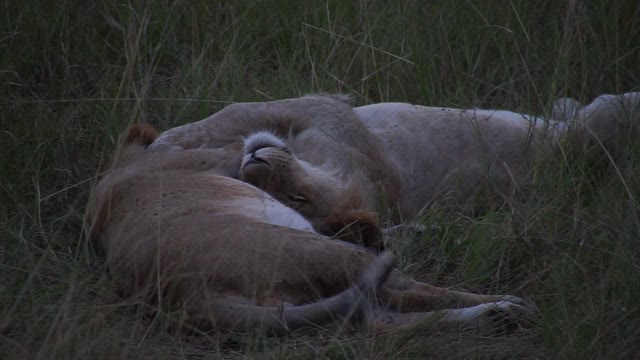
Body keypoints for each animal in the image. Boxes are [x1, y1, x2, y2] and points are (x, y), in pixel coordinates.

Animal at [90, 126, 528, 334]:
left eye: (296, 195)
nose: (256, 161)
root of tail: (186, 296)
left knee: (375, 319)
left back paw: (498, 318)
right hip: (322, 252)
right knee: (408, 293)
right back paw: (509, 306)